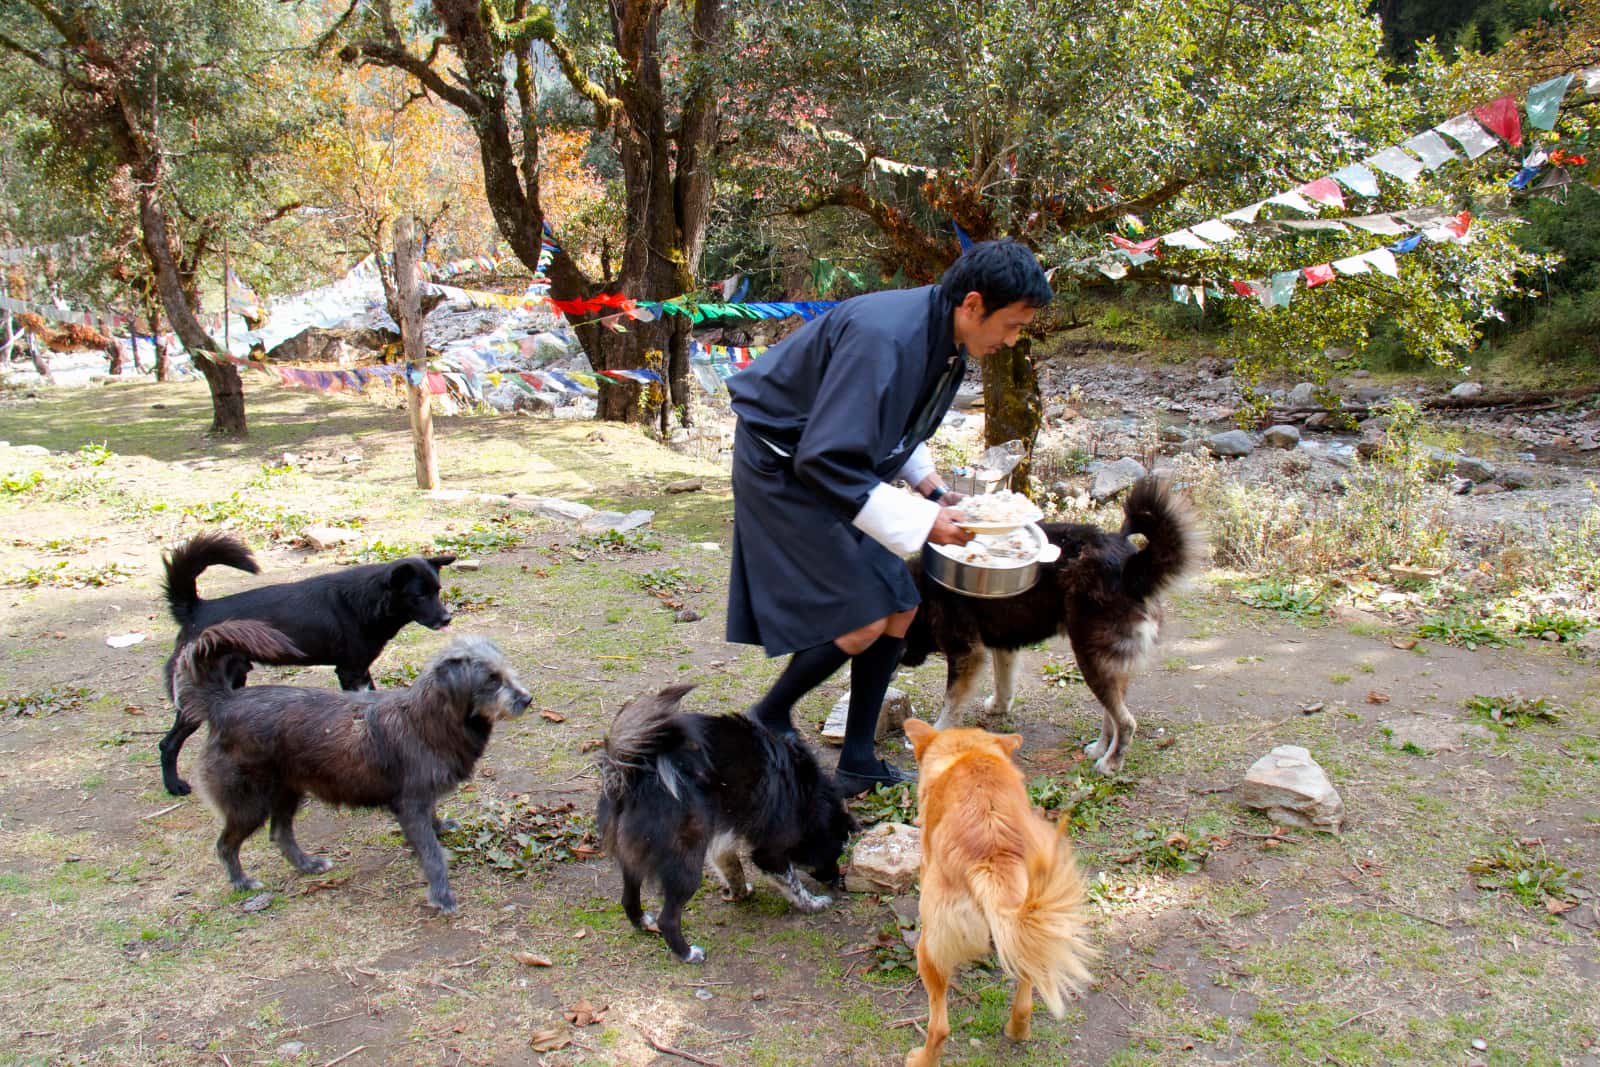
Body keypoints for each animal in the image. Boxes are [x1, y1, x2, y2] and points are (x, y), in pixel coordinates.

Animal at [160, 531, 457, 796]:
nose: (447, 618)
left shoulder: (361, 672)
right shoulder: (351, 671)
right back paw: (174, 785)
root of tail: (197, 609)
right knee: (167, 743)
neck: (367, 600)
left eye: (438, 591)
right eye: (419, 596)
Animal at [173, 620, 531, 915]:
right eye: (491, 680)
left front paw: (441, 827)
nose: (527, 699)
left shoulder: (422, 799)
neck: (428, 719)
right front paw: (442, 895)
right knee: (226, 844)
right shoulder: (410, 806)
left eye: (505, 671)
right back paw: (242, 882)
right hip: (250, 803)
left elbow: (433, 822)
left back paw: (307, 864)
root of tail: (223, 703)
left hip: (288, 790)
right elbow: (432, 855)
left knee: (279, 833)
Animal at [598, 687, 857, 966]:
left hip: (635, 856)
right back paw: (688, 953)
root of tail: (633, 774)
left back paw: (643, 923)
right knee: (667, 918)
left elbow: (734, 869)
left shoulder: (722, 839)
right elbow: (793, 883)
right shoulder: (770, 852)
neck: (808, 798)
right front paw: (814, 903)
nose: (839, 882)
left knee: (628, 898)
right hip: (687, 863)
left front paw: (739, 893)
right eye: (836, 853)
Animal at [902, 476, 1203, 777]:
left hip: (1090, 656)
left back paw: (1111, 763)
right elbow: (1004, 683)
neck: (923, 594)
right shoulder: (1005, 643)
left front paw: (936, 734)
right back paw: (1100, 748)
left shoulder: (966, 654)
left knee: (1126, 721)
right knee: (1112, 714)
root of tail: (1132, 567)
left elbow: (951, 701)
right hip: (1106, 663)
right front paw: (999, 707)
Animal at [902, 716, 1100, 1067]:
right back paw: (1017, 1030)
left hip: (929, 950)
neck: (966, 752)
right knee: (1025, 996)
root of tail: (991, 856)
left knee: (939, 1027)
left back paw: (921, 1058)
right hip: (1033, 926)